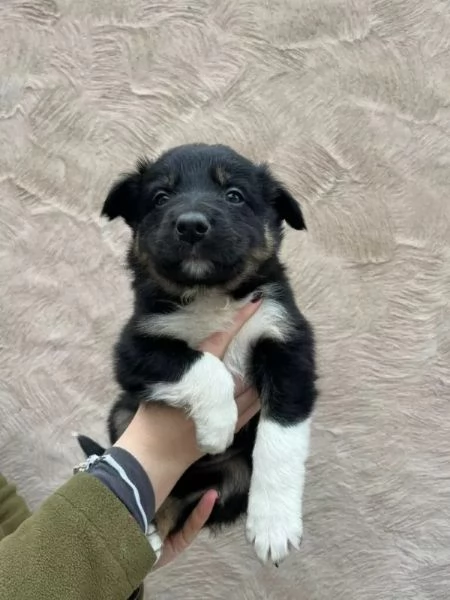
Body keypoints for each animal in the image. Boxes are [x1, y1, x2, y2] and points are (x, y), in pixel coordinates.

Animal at [77, 143, 316, 564]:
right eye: (161, 197)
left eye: (234, 195)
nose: (190, 225)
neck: (210, 294)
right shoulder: (136, 347)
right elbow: (201, 365)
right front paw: (218, 424)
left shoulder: (288, 344)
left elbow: (280, 440)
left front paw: (274, 527)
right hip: (123, 411)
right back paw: (149, 533)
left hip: (232, 477)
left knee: (185, 496)